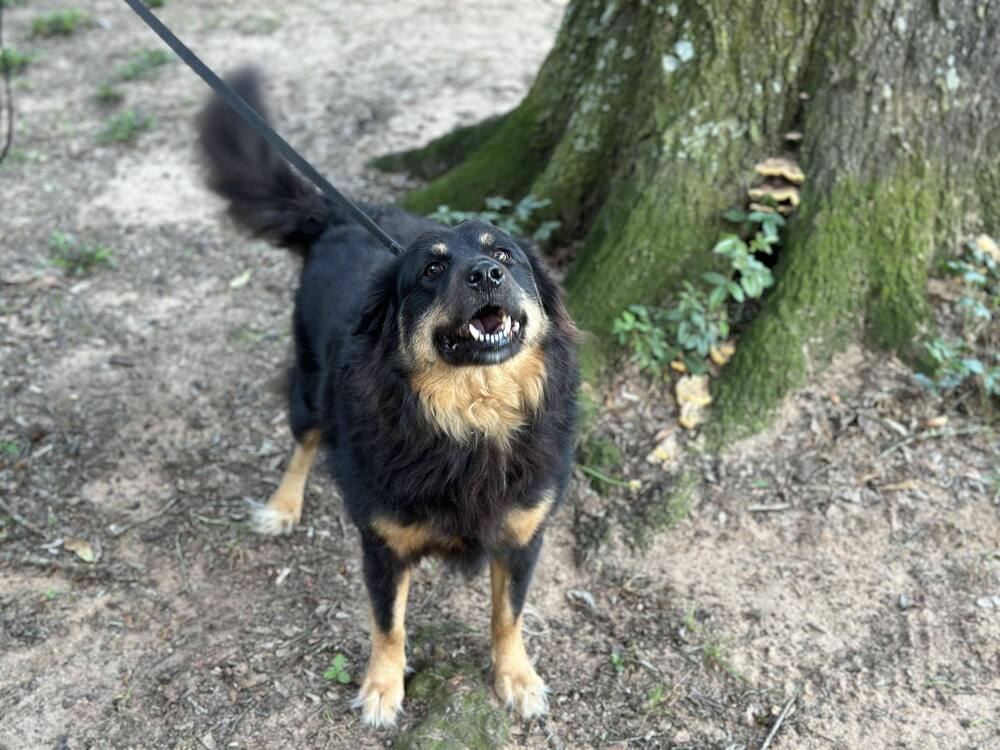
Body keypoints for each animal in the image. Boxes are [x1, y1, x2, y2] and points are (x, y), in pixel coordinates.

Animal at [196, 70, 584, 728]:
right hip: (311, 387)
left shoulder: (524, 533)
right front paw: (382, 689)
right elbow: (389, 624)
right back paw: (283, 504)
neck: (469, 420)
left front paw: (517, 677)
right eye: (430, 270)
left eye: (505, 255)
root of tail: (340, 215)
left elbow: (509, 615)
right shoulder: (382, 543)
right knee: (305, 441)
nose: (486, 274)